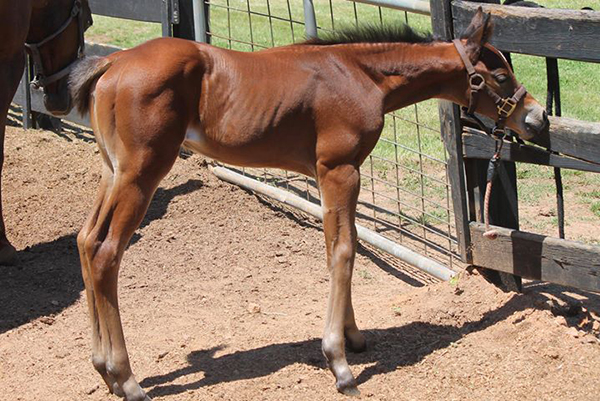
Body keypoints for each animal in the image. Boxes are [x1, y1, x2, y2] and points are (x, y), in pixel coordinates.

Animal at [70, 7, 548, 398]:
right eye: (500, 76)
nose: (537, 118)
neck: (361, 75)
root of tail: (113, 62)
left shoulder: (335, 174)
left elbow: (342, 241)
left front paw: (354, 336)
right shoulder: (339, 169)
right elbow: (343, 250)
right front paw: (339, 364)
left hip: (113, 171)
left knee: (86, 240)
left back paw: (102, 369)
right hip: (142, 173)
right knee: (107, 252)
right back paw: (127, 379)